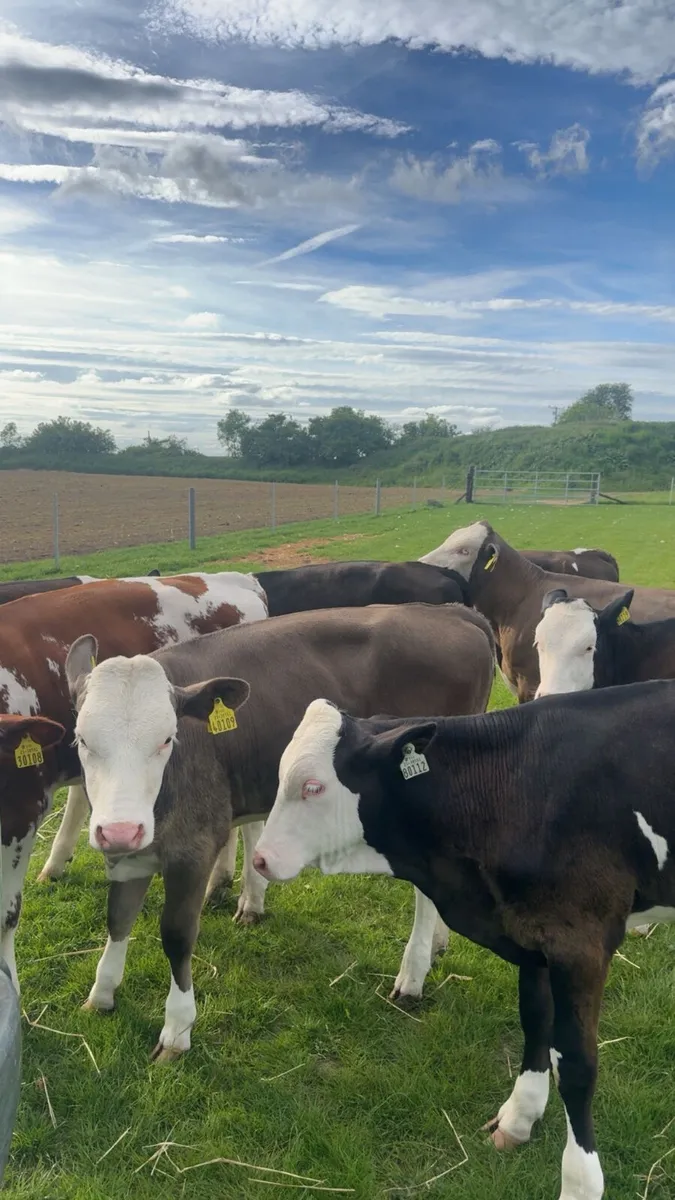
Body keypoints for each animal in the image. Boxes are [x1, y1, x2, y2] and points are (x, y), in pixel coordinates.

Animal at [62, 602, 495, 1060]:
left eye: (166, 739)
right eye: (82, 740)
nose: (121, 829)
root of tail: (450, 612)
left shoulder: (194, 845)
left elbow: (177, 935)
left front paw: (177, 1030)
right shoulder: (127, 852)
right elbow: (118, 917)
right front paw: (102, 993)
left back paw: (412, 975)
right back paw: (438, 943)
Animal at [254, 681, 675, 1200]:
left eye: (313, 787)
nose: (260, 859)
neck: (517, 789)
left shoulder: (581, 944)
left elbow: (576, 1066)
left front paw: (580, 1183)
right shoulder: (530, 932)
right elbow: (535, 1019)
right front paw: (520, 1116)